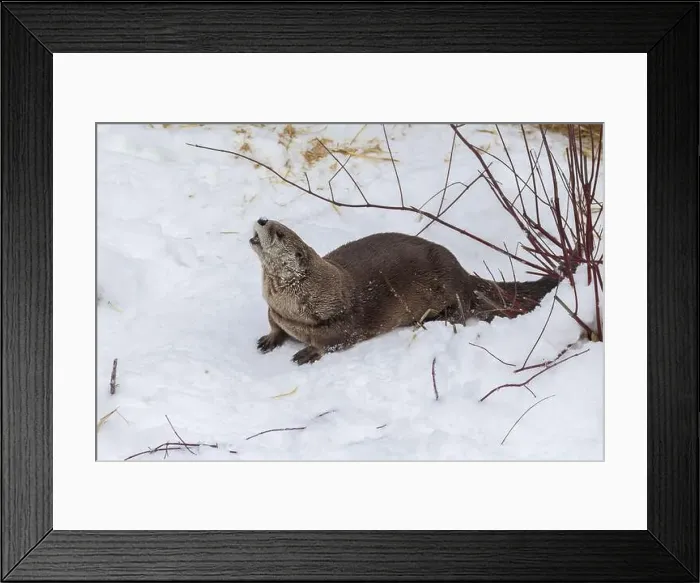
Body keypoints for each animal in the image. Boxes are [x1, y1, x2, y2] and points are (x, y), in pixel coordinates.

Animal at [249, 217, 559, 365]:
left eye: (279, 233)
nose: (263, 219)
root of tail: (463, 273)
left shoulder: (342, 322)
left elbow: (332, 341)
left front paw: (308, 353)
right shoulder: (273, 309)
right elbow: (273, 323)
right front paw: (269, 339)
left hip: (450, 283)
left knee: (462, 309)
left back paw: (437, 319)